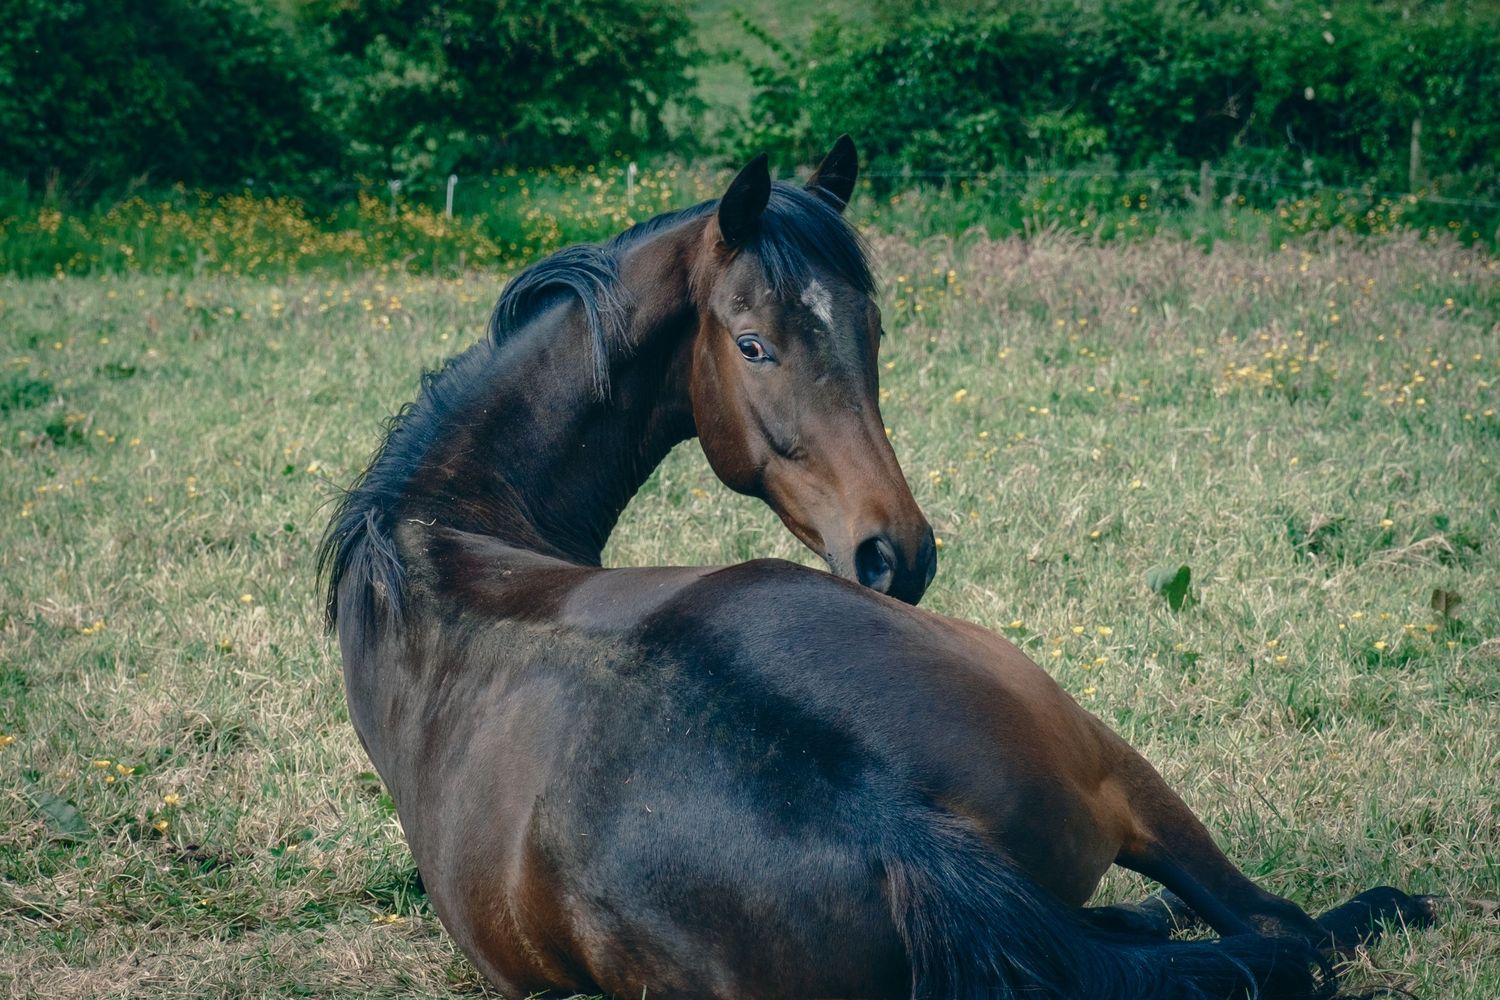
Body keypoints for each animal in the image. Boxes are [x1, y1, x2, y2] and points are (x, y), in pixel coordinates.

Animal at [320, 137, 1435, 999]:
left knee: (1277, 925)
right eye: (754, 345)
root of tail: (884, 823)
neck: (436, 529)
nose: (896, 549)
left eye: (873, 329)